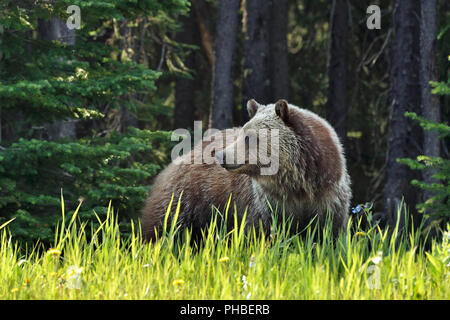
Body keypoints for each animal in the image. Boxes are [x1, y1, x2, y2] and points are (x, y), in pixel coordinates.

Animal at [142, 99, 354, 240]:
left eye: (249, 137)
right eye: (242, 133)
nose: (221, 156)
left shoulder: (328, 200)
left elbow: (328, 236)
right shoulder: (265, 204)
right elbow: (260, 234)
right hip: (187, 198)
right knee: (163, 227)